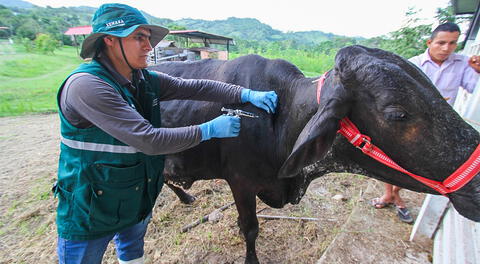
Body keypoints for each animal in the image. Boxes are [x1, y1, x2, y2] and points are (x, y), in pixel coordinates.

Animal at [148, 44, 480, 262]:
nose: (477, 185)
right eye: (397, 114)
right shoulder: (240, 182)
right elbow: (250, 229)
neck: (280, 117)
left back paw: (185, 196)